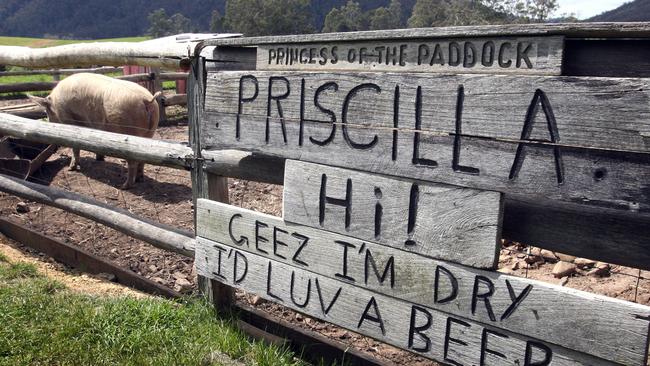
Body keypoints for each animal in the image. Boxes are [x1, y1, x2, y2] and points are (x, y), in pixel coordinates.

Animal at [29, 73, 162, 190]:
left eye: (47, 112)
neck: (55, 106)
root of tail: (147, 100)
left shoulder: (70, 120)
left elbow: (75, 147)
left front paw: (71, 168)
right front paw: (99, 159)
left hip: (130, 133)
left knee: (133, 162)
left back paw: (124, 186)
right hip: (150, 132)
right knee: (142, 159)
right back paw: (140, 179)